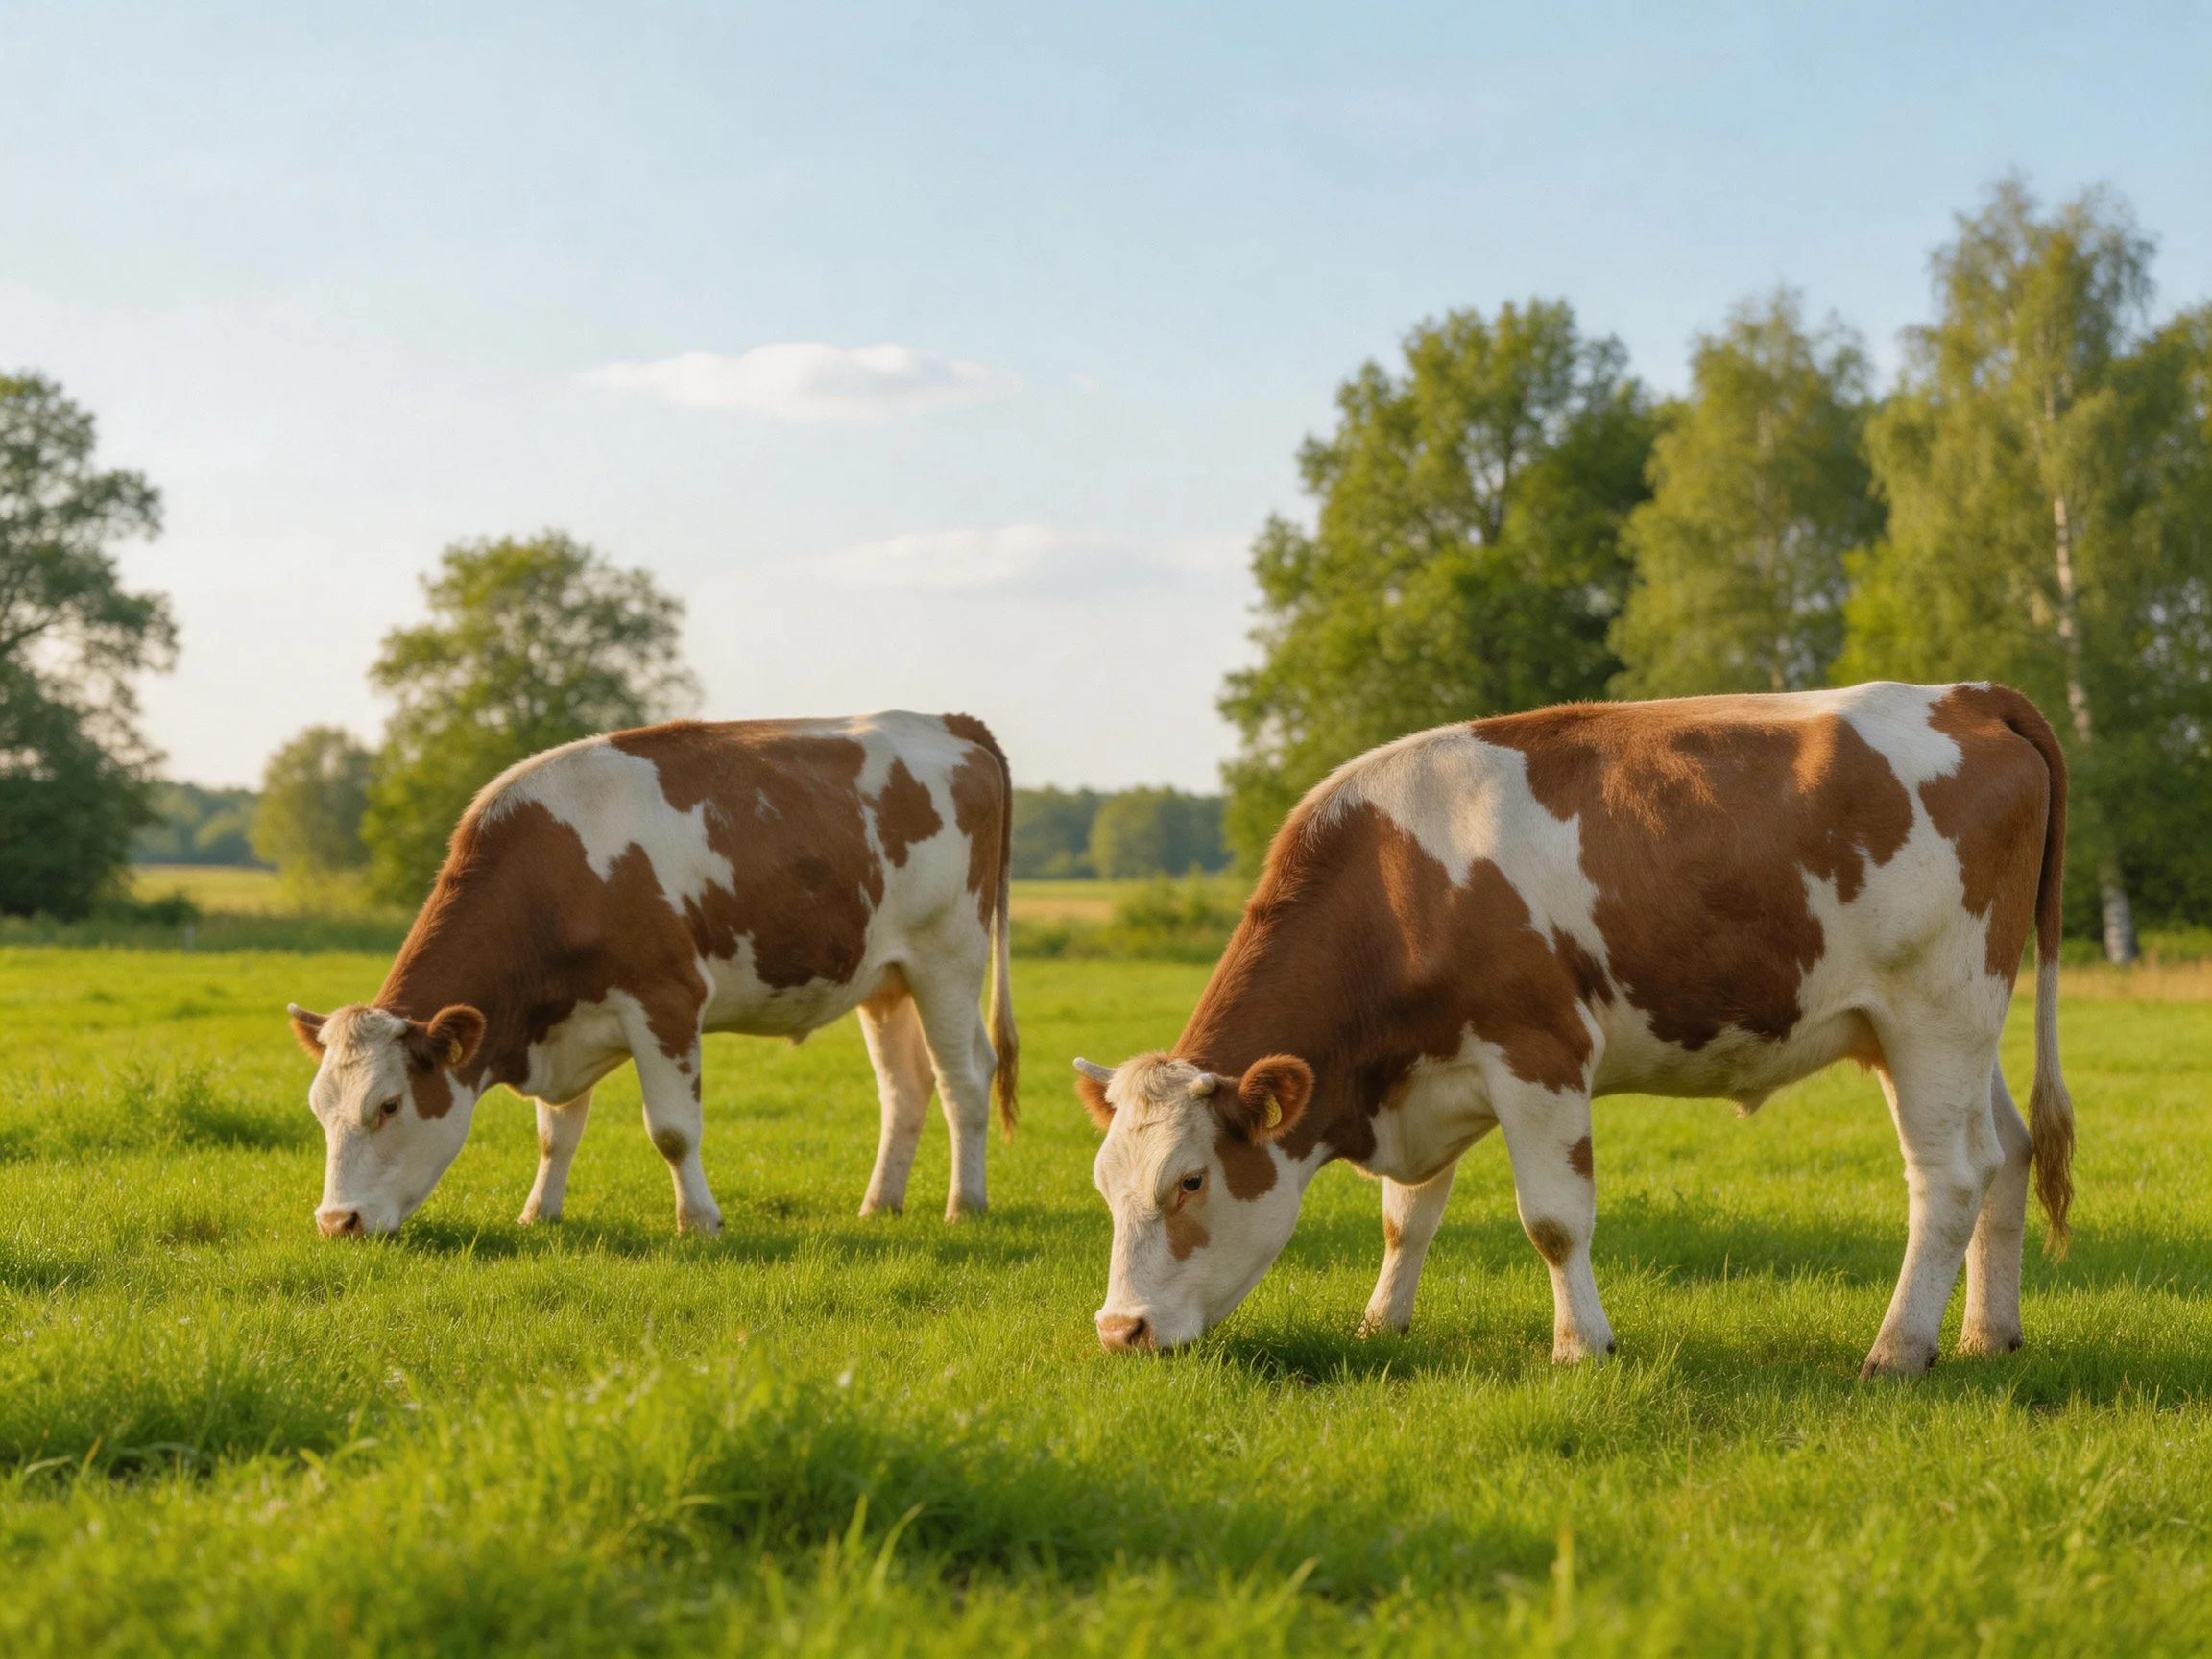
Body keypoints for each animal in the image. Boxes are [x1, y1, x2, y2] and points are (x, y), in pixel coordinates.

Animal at [286, 711, 1017, 1238]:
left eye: (388, 1105)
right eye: (318, 1109)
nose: (336, 1222)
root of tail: (950, 723)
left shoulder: (666, 1001)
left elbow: (671, 1130)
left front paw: (699, 1221)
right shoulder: (563, 1020)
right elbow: (555, 1135)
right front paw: (539, 1214)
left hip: (948, 957)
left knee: (964, 1079)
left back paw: (966, 1204)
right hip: (886, 978)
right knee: (905, 1087)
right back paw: (880, 1204)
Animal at [1074, 682, 2073, 1378]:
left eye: (1191, 1181)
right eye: (1104, 1186)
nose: (1119, 1330)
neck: (1399, 891)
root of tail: (1968, 693)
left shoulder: (1538, 1055)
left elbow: (1554, 1221)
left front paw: (1580, 1347)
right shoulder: (1431, 1077)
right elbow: (1407, 1217)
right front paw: (1380, 1323)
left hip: (1935, 1011)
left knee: (1950, 1176)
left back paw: (1898, 1349)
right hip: (1952, 1026)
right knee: (2008, 1153)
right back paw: (1988, 1334)